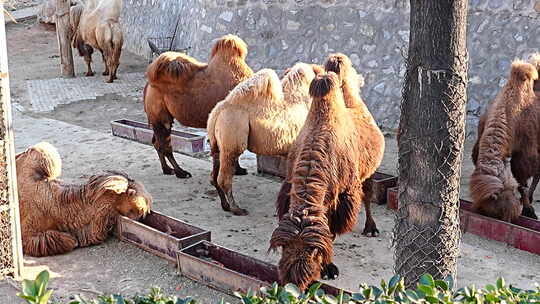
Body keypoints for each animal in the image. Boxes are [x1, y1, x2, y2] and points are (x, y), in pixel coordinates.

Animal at [208, 63, 320, 216]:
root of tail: (217, 112)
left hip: (217, 144)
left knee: (214, 173)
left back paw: (225, 205)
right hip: (232, 132)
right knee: (224, 176)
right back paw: (237, 208)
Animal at [268, 72, 384, 290]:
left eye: (312, 256)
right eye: (284, 251)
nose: (294, 285)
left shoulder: (345, 197)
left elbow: (331, 231)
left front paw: (329, 268)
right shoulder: (290, 188)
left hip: (369, 172)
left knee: (368, 195)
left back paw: (371, 229)